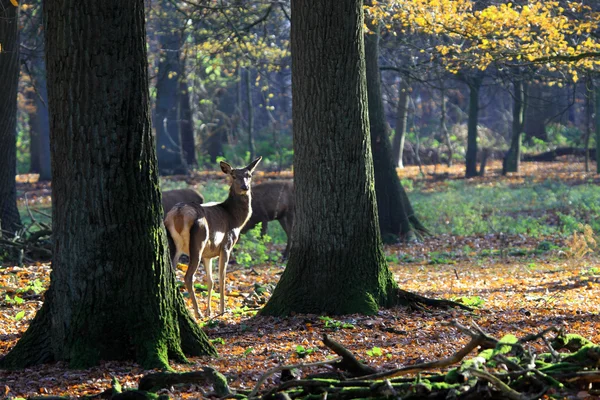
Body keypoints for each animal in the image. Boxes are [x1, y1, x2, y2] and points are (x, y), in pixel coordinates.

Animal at [163, 156, 262, 318]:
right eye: (233, 175)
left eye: (249, 175)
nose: (244, 187)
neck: (235, 219)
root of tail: (178, 215)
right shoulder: (226, 245)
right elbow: (222, 278)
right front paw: (222, 310)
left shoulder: (208, 254)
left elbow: (210, 281)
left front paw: (209, 311)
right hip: (198, 240)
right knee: (188, 276)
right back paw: (197, 313)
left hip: (173, 244)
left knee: (170, 273)